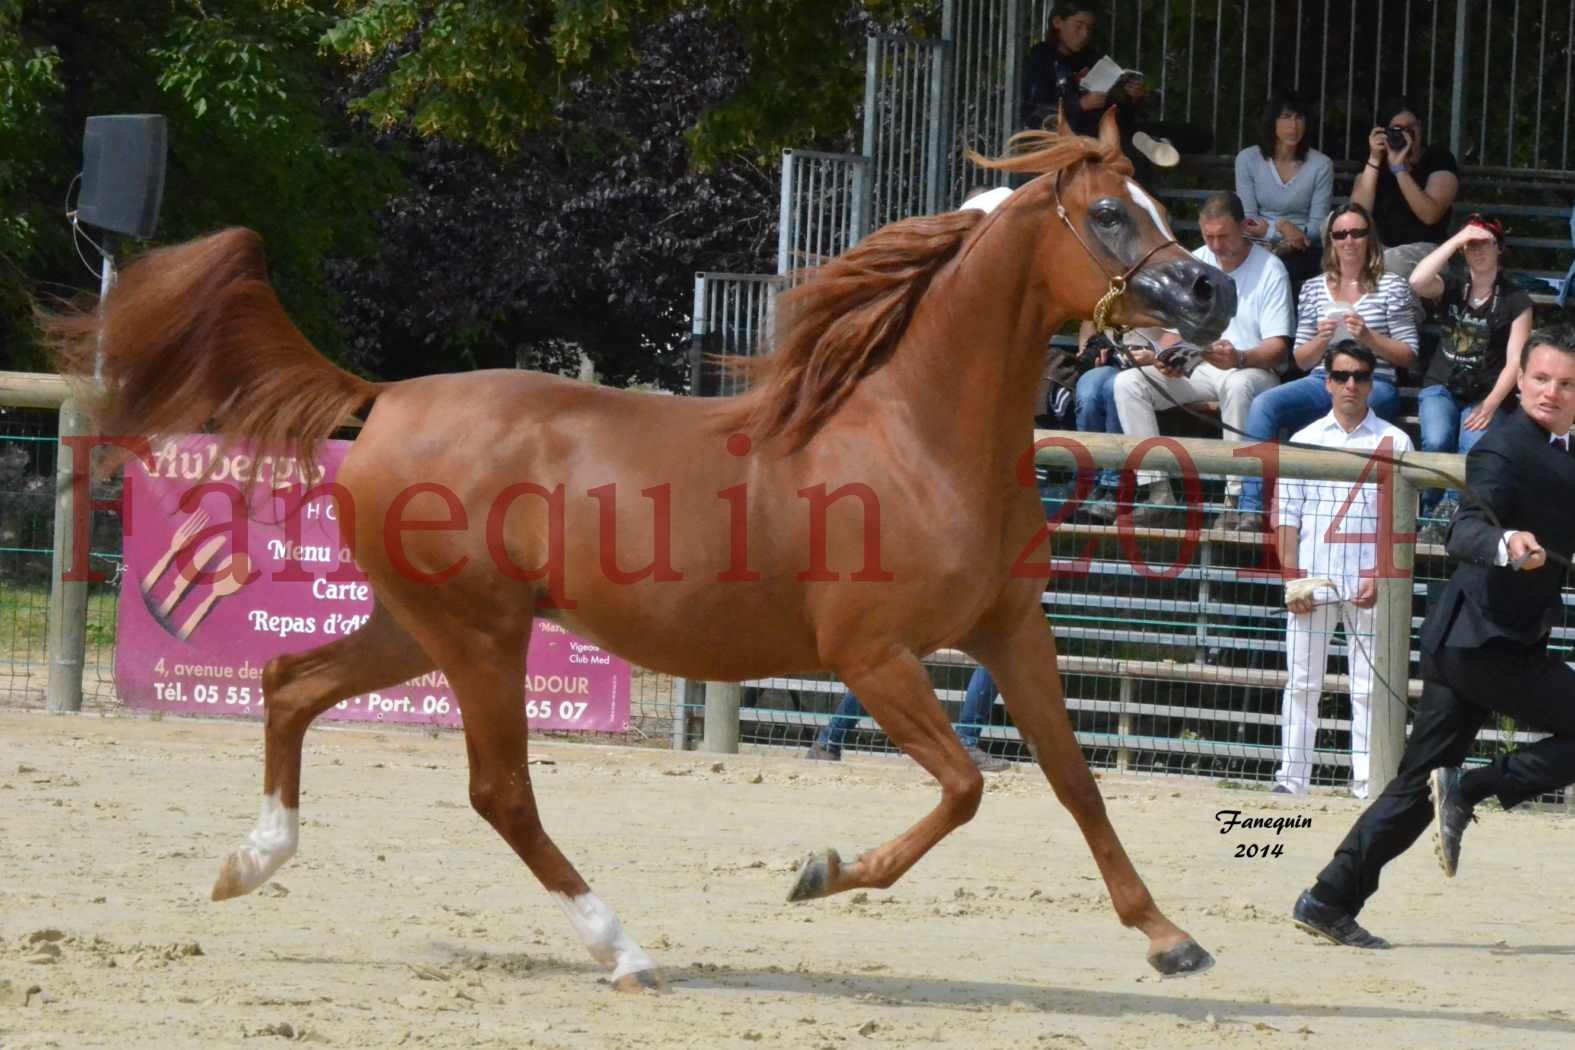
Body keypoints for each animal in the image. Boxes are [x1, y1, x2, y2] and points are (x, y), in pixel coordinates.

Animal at [46, 110, 1228, 988]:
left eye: (1156, 208)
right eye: (1110, 215)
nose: (1209, 293)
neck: (915, 437)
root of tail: (383, 399)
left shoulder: (1010, 631)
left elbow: (1074, 780)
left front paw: (1171, 940)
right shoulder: (872, 659)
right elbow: (968, 788)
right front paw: (818, 870)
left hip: (419, 627)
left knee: (290, 682)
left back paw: (248, 866)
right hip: (480, 639)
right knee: (500, 792)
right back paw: (624, 951)